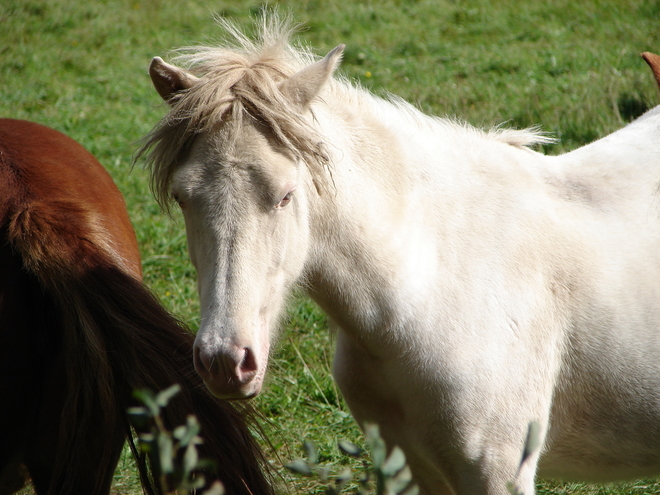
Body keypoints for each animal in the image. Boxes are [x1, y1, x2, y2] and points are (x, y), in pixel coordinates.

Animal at [142, 15, 660, 495]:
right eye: (183, 197)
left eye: (286, 195)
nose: (225, 363)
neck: (430, 283)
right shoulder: (408, 466)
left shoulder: (498, 471)